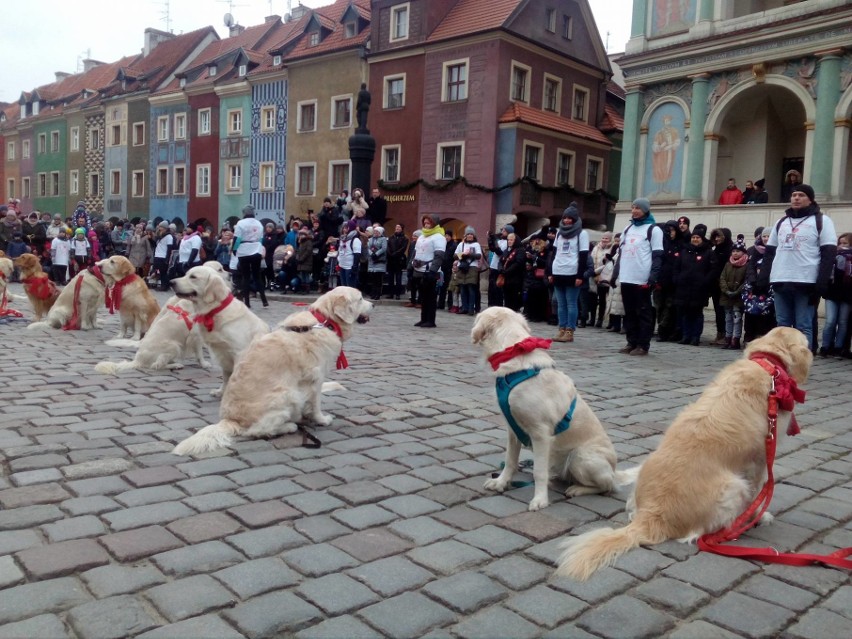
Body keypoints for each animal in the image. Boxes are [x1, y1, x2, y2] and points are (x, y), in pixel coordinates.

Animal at [95, 262, 233, 378]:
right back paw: (176, 365)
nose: (231, 274)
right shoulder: (195, 336)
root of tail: (137, 360)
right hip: (174, 345)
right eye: (220, 269)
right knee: (156, 365)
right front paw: (204, 364)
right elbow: (199, 353)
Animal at [169, 264, 268, 396]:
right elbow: (226, 377)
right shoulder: (222, 354)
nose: (171, 282)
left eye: (193, 277)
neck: (215, 311)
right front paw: (221, 391)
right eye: (185, 274)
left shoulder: (239, 353)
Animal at [173, 288, 370, 458]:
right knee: (258, 431)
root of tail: (230, 420)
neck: (324, 322)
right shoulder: (315, 380)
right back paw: (289, 426)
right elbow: (315, 405)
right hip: (288, 394)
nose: (373, 305)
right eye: (361, 298)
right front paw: (322, 419)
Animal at [470, 308, 636, 512]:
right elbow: (510, 460)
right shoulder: (512, 428)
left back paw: (578, 489)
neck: (515, 354)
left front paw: (540, 499)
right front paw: (501, 482)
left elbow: (539, 471)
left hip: (580, 457)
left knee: (608, 486)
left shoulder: (540, 433)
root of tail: (614, 470)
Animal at [556, 328, 816, 584]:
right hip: (734, 486)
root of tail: (651, 517)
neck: (769, 366)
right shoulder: (760, 462)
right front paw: (759, 517)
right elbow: (759, 495)